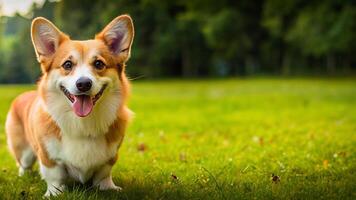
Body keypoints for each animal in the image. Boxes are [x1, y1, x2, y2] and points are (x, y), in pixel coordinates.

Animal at [4, 14, 135, 196]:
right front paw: (54, 193)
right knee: (23, 164)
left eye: (99, 64)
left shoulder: (110, 156)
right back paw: (24, 175)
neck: (83, 123)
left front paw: (109, 187)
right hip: (24, 151)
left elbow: (104, 174)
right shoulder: (49, 157)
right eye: (67, 64)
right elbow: (54, 176)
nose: (83, 84)